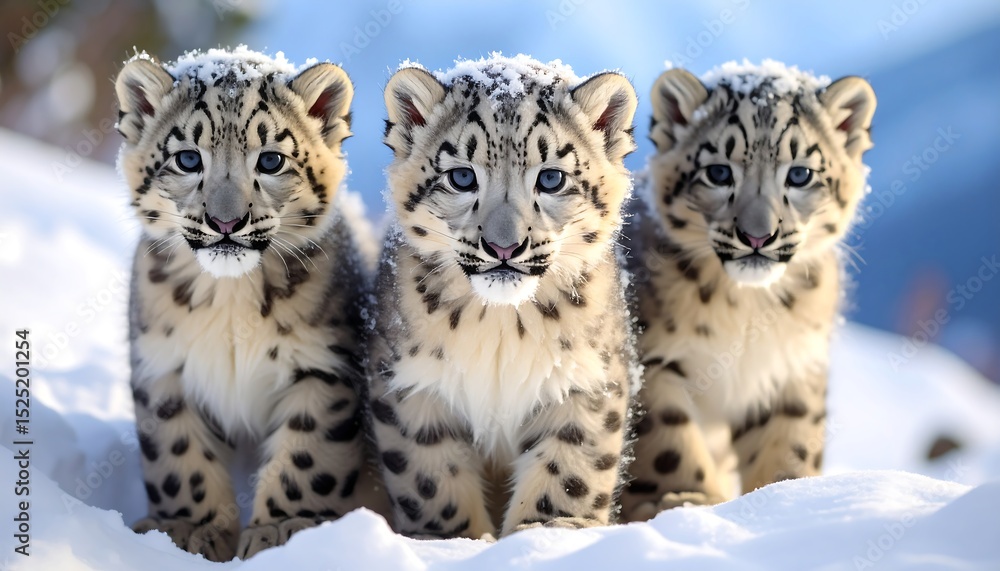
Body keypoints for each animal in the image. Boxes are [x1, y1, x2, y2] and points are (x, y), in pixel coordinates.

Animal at [115, 47, 386, 561]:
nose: (226, 221)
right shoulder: (163, 367)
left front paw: (284, 530)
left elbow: (306, 455)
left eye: (272, 160)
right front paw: (186, 529)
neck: (230, 299)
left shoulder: (322, 367)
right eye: (187, 158)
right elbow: (179, 457)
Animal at [366, 54, 641, 539]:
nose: (504, 247)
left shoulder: (584, 381)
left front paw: (549, 530)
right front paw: (454, 541)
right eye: (461, 176)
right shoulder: (412, 385)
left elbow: (567, 474)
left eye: (551, 178)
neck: (500, 325)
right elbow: (431, 482)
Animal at [620, 60, 877, 521]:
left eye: (800, 174)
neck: (746, 310)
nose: (758, 235)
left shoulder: (791, 366)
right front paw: (684, 499)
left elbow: (789, 438)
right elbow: (668, 440)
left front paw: (787, 497)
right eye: (718, 172)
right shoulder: (653, 361)